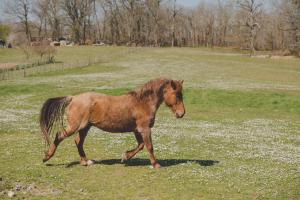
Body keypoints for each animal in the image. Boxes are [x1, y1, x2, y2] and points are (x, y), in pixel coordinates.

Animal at [39, 78, 185, 169]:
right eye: (177, 95)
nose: (181, 114)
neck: (142, 103)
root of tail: (73, 98)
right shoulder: (144, 129)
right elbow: (149, 146)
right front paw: (156, 165)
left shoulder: (137, 130)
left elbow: (141, 145)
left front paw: (125, 157)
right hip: (75, 126)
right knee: (59, 136)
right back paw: (46, 157)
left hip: (85, 127)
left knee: (78, 142)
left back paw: (86, 162)